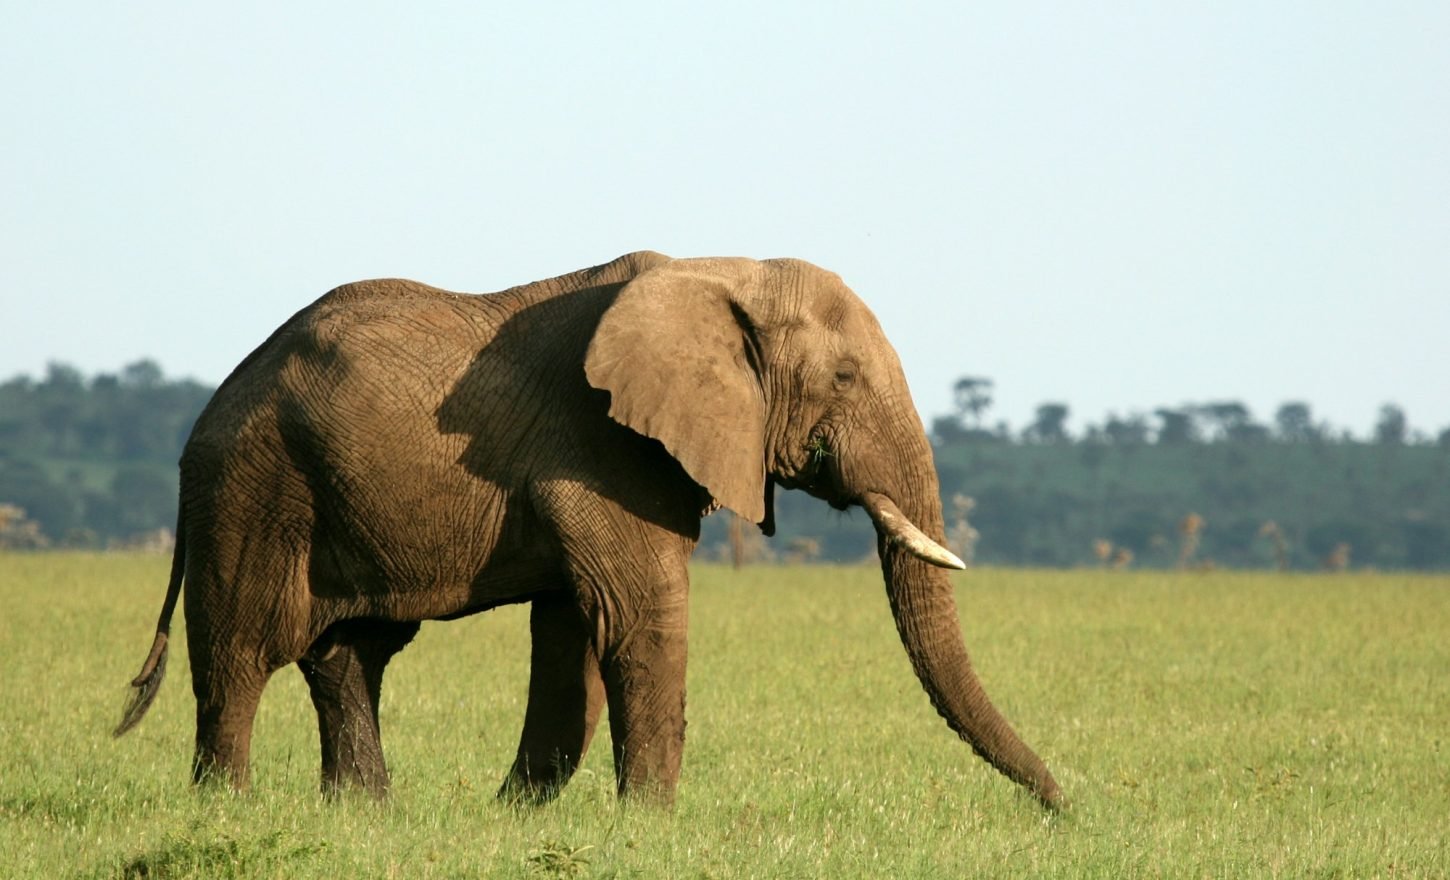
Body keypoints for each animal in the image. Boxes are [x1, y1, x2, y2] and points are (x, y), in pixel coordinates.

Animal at [116, 249, 1067, 811]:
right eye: (843, 377)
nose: (1063, 806)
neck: (721, 271)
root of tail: (209, 408)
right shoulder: (606, 450)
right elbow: (636, 616)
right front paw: (652, 824)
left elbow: (574, 631)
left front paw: (512, 820)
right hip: (253, 488)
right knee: (242, 653)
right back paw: (225, 812)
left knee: (350, 656)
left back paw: (364, 817)